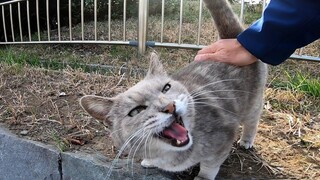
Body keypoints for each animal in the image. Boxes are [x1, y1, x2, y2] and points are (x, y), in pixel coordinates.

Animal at [79, 0, 268, 179]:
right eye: (136, 111)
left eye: (166, 88)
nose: (170, 106)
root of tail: (230, 38)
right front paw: (149, 162)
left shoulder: (222, 141)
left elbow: (210, 166)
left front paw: (203, 178)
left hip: (253, 103)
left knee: (253, 121)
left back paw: (246, 140)